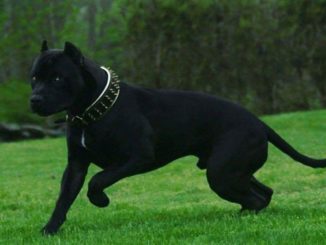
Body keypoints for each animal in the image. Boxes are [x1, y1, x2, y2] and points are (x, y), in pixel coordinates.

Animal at [29, 41, 326, 234]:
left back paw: (239, 219)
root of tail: (260, 123)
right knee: (263, 192)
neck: (92, 109)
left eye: (57, 78)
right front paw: (50, 229)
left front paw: (100, 200)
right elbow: (64, 197)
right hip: (234, 171)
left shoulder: (137, 157)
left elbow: (98, 179)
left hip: (222, 173)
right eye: (34, 78)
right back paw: (243, 214)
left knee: (256, 197)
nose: (34, 99)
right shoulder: (76, 166)